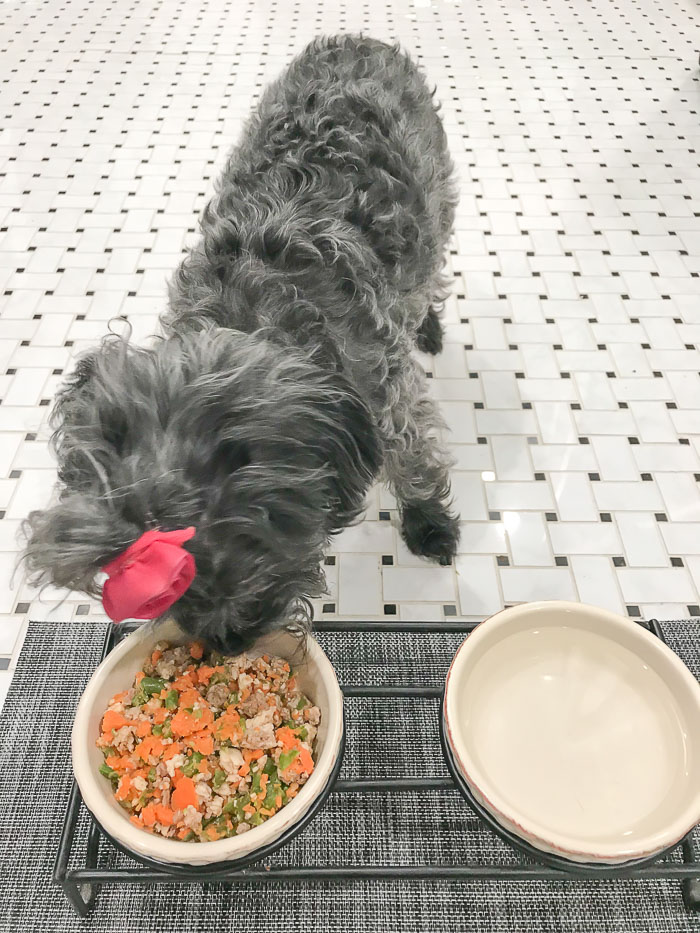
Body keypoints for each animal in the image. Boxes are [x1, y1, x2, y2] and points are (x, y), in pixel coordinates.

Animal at [22, 34, 460, 652]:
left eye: (221, 551)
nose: (225, 643)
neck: (257, 312)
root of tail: (358, 39)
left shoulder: (389, 397)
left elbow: (416, 456)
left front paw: (429, 522)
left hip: (437, 201)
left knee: (432, 272)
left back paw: (429, 325)